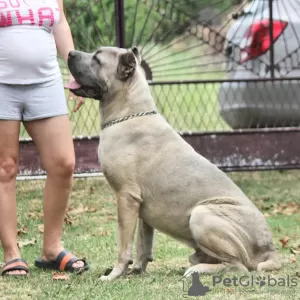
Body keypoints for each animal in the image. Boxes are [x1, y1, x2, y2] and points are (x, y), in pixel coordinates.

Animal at [65, 45, 282, 280]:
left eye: (96, 58)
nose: (69, 53)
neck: (130, 112)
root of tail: (269, 248)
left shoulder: (126, 197)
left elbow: (124, 244)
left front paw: (114, 274)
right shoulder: (141, 207)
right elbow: (143, 243)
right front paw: (137, 269)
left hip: (202, 214)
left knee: (237, 265)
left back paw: (197, 269)